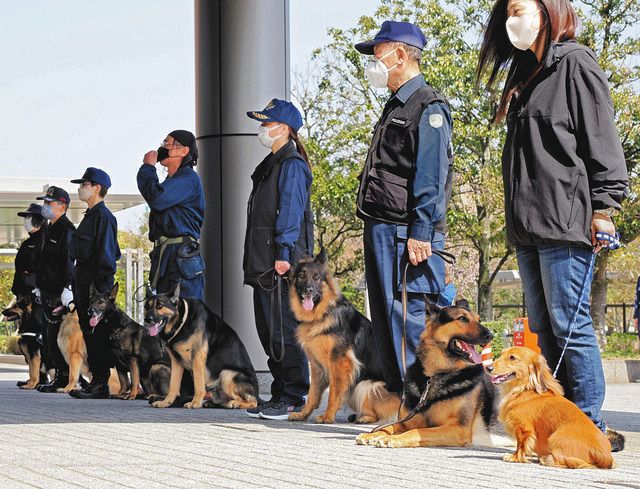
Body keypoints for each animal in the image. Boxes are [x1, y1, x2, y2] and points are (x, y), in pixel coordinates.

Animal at [288, 250, 400, 422]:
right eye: (301, 276)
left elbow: (334, 392)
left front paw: (328, 416)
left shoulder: (340, 362)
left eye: (317, 278)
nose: (308, 290)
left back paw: (365, 418)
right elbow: (312, 393)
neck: (324, 312)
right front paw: (303, 414)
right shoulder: (317, 365)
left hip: (367, 384)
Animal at [356, 298, 496, 446]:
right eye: (463, 318)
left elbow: (416, 432)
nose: (490, 335)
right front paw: (372, 434)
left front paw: (392, 439)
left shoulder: (458, 429)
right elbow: (387, 427)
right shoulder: (406, 422)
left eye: (479, 320)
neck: (434, 375)